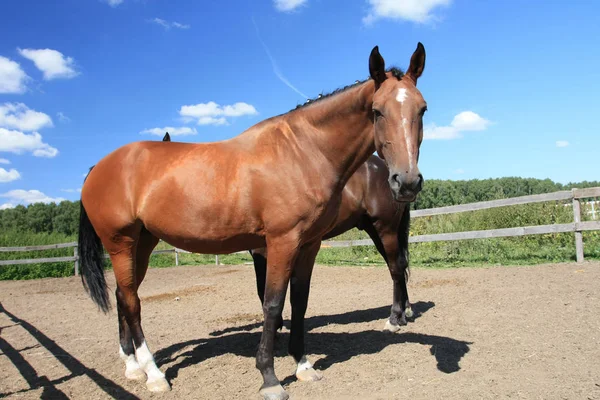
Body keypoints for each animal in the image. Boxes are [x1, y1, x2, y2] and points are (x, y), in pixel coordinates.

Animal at [79, 43, 426, 400]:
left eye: (422, 110)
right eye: (377, 111)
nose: (407, 182)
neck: (302, 153)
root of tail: (98, 168)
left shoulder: (309, 244)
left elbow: (299, 301)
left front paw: (303, 365)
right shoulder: (280, 242)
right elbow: (272, 304)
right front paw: (270, 378)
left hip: (143, 243)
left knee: (124, 295)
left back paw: (132, 365)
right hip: (120, 243)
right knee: (131, 301)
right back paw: (152, 373)